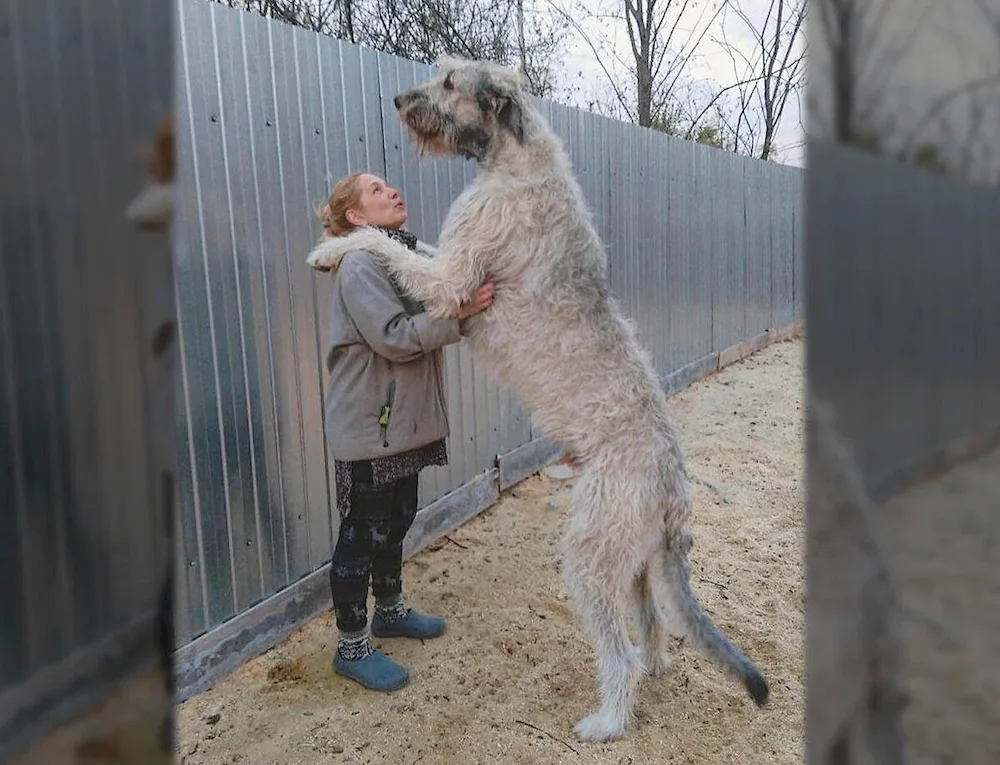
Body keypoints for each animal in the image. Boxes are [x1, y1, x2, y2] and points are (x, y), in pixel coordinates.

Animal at [308, 58, 768, 740]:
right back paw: (653, 666)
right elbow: (407, 244)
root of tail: (672, 482)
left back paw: (607, 720)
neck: (516, 158)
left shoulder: (453, 274)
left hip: (591, 554)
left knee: (618, 651)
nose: (398, 99)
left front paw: (332, 248)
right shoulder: (449, 257)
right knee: (652, 626)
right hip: (633, 557)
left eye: (450, 83)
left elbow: (387, 245)